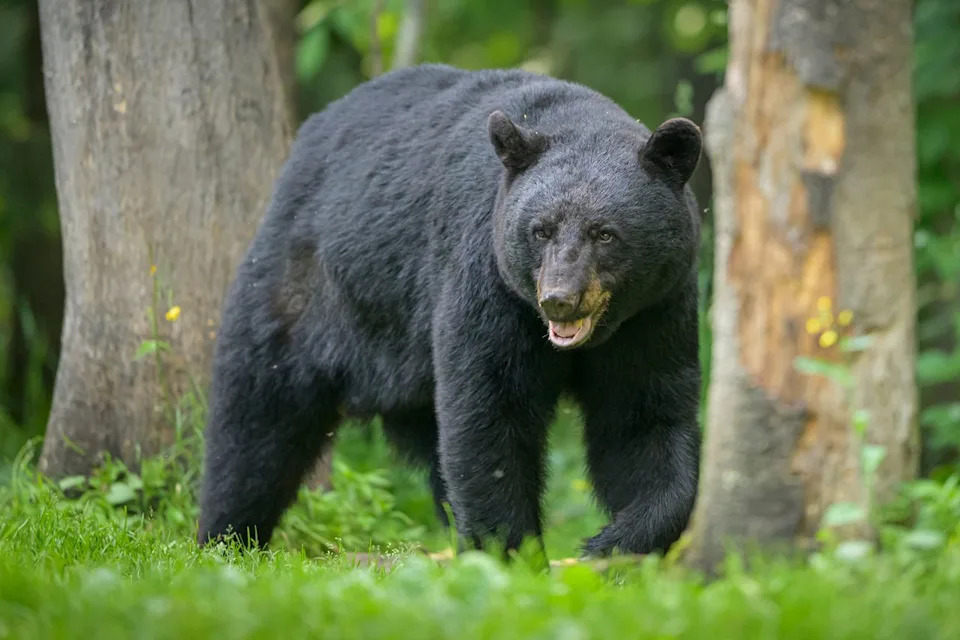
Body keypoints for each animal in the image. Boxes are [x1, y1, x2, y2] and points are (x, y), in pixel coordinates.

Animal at [196, 63, 703, 558]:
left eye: (605, 233)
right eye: (541, 229)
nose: (559, 298)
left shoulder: (654, 312)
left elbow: (643, 417)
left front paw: (615, 542)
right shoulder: (488, 281)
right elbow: (489, 411)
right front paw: (510, 551)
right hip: (303, 290)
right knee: (257, 419)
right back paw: (226, 538)